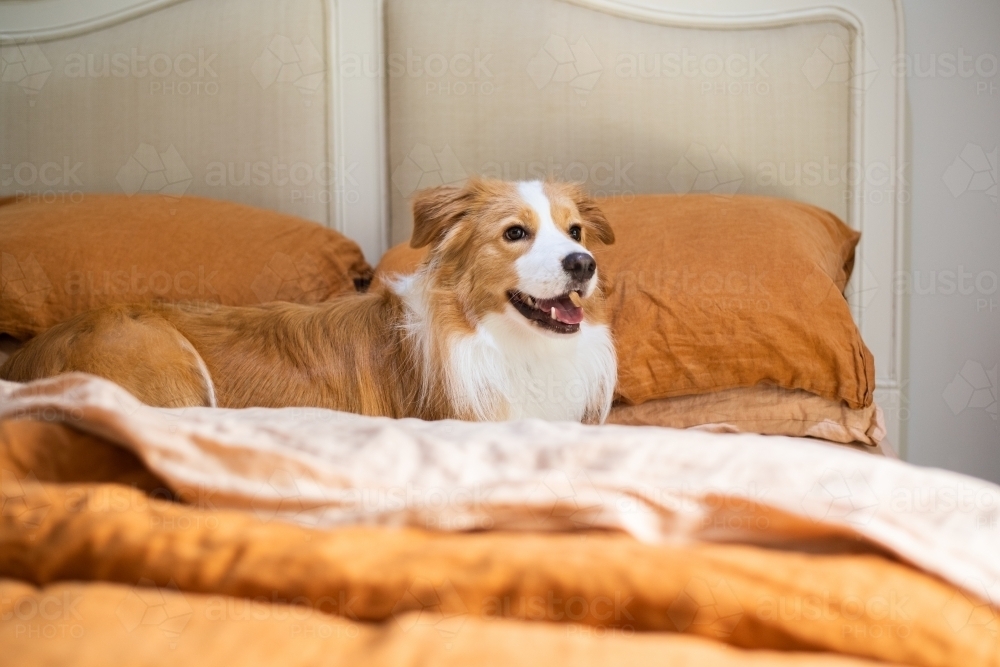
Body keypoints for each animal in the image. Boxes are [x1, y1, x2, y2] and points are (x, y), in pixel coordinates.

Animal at [1, 179, 616, 422]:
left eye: (576, 232)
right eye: (515, 233)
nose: (582, 264)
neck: (504, 341)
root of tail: (23, 359)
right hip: (164, 363)